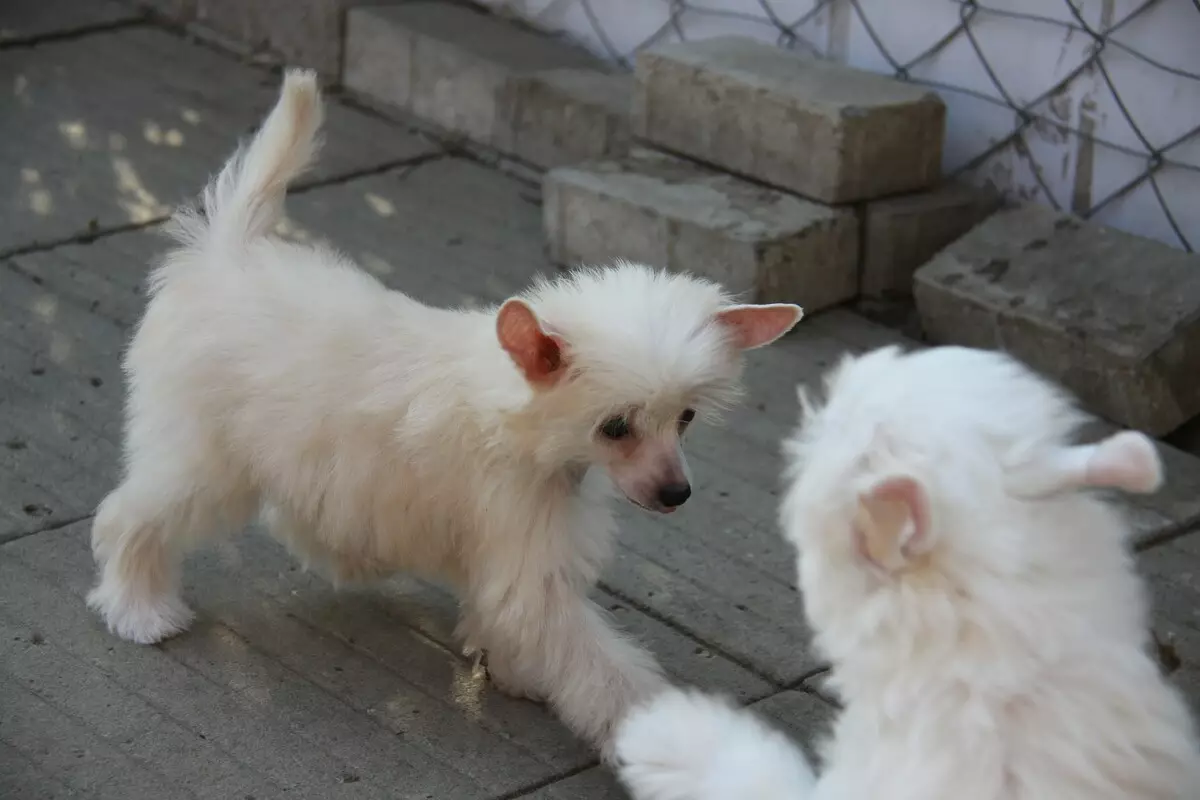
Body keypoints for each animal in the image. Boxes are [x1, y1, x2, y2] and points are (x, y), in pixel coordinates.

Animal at [88, 70, 801, 758]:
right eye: (615, 427)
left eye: (685, 419)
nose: (677, 494)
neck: (518, 423)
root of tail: (228, 253)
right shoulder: (529, 562)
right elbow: (601, 668)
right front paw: (671, 738)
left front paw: (515, 673)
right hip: (203, 456)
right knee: (132, 516)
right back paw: (138, 608)